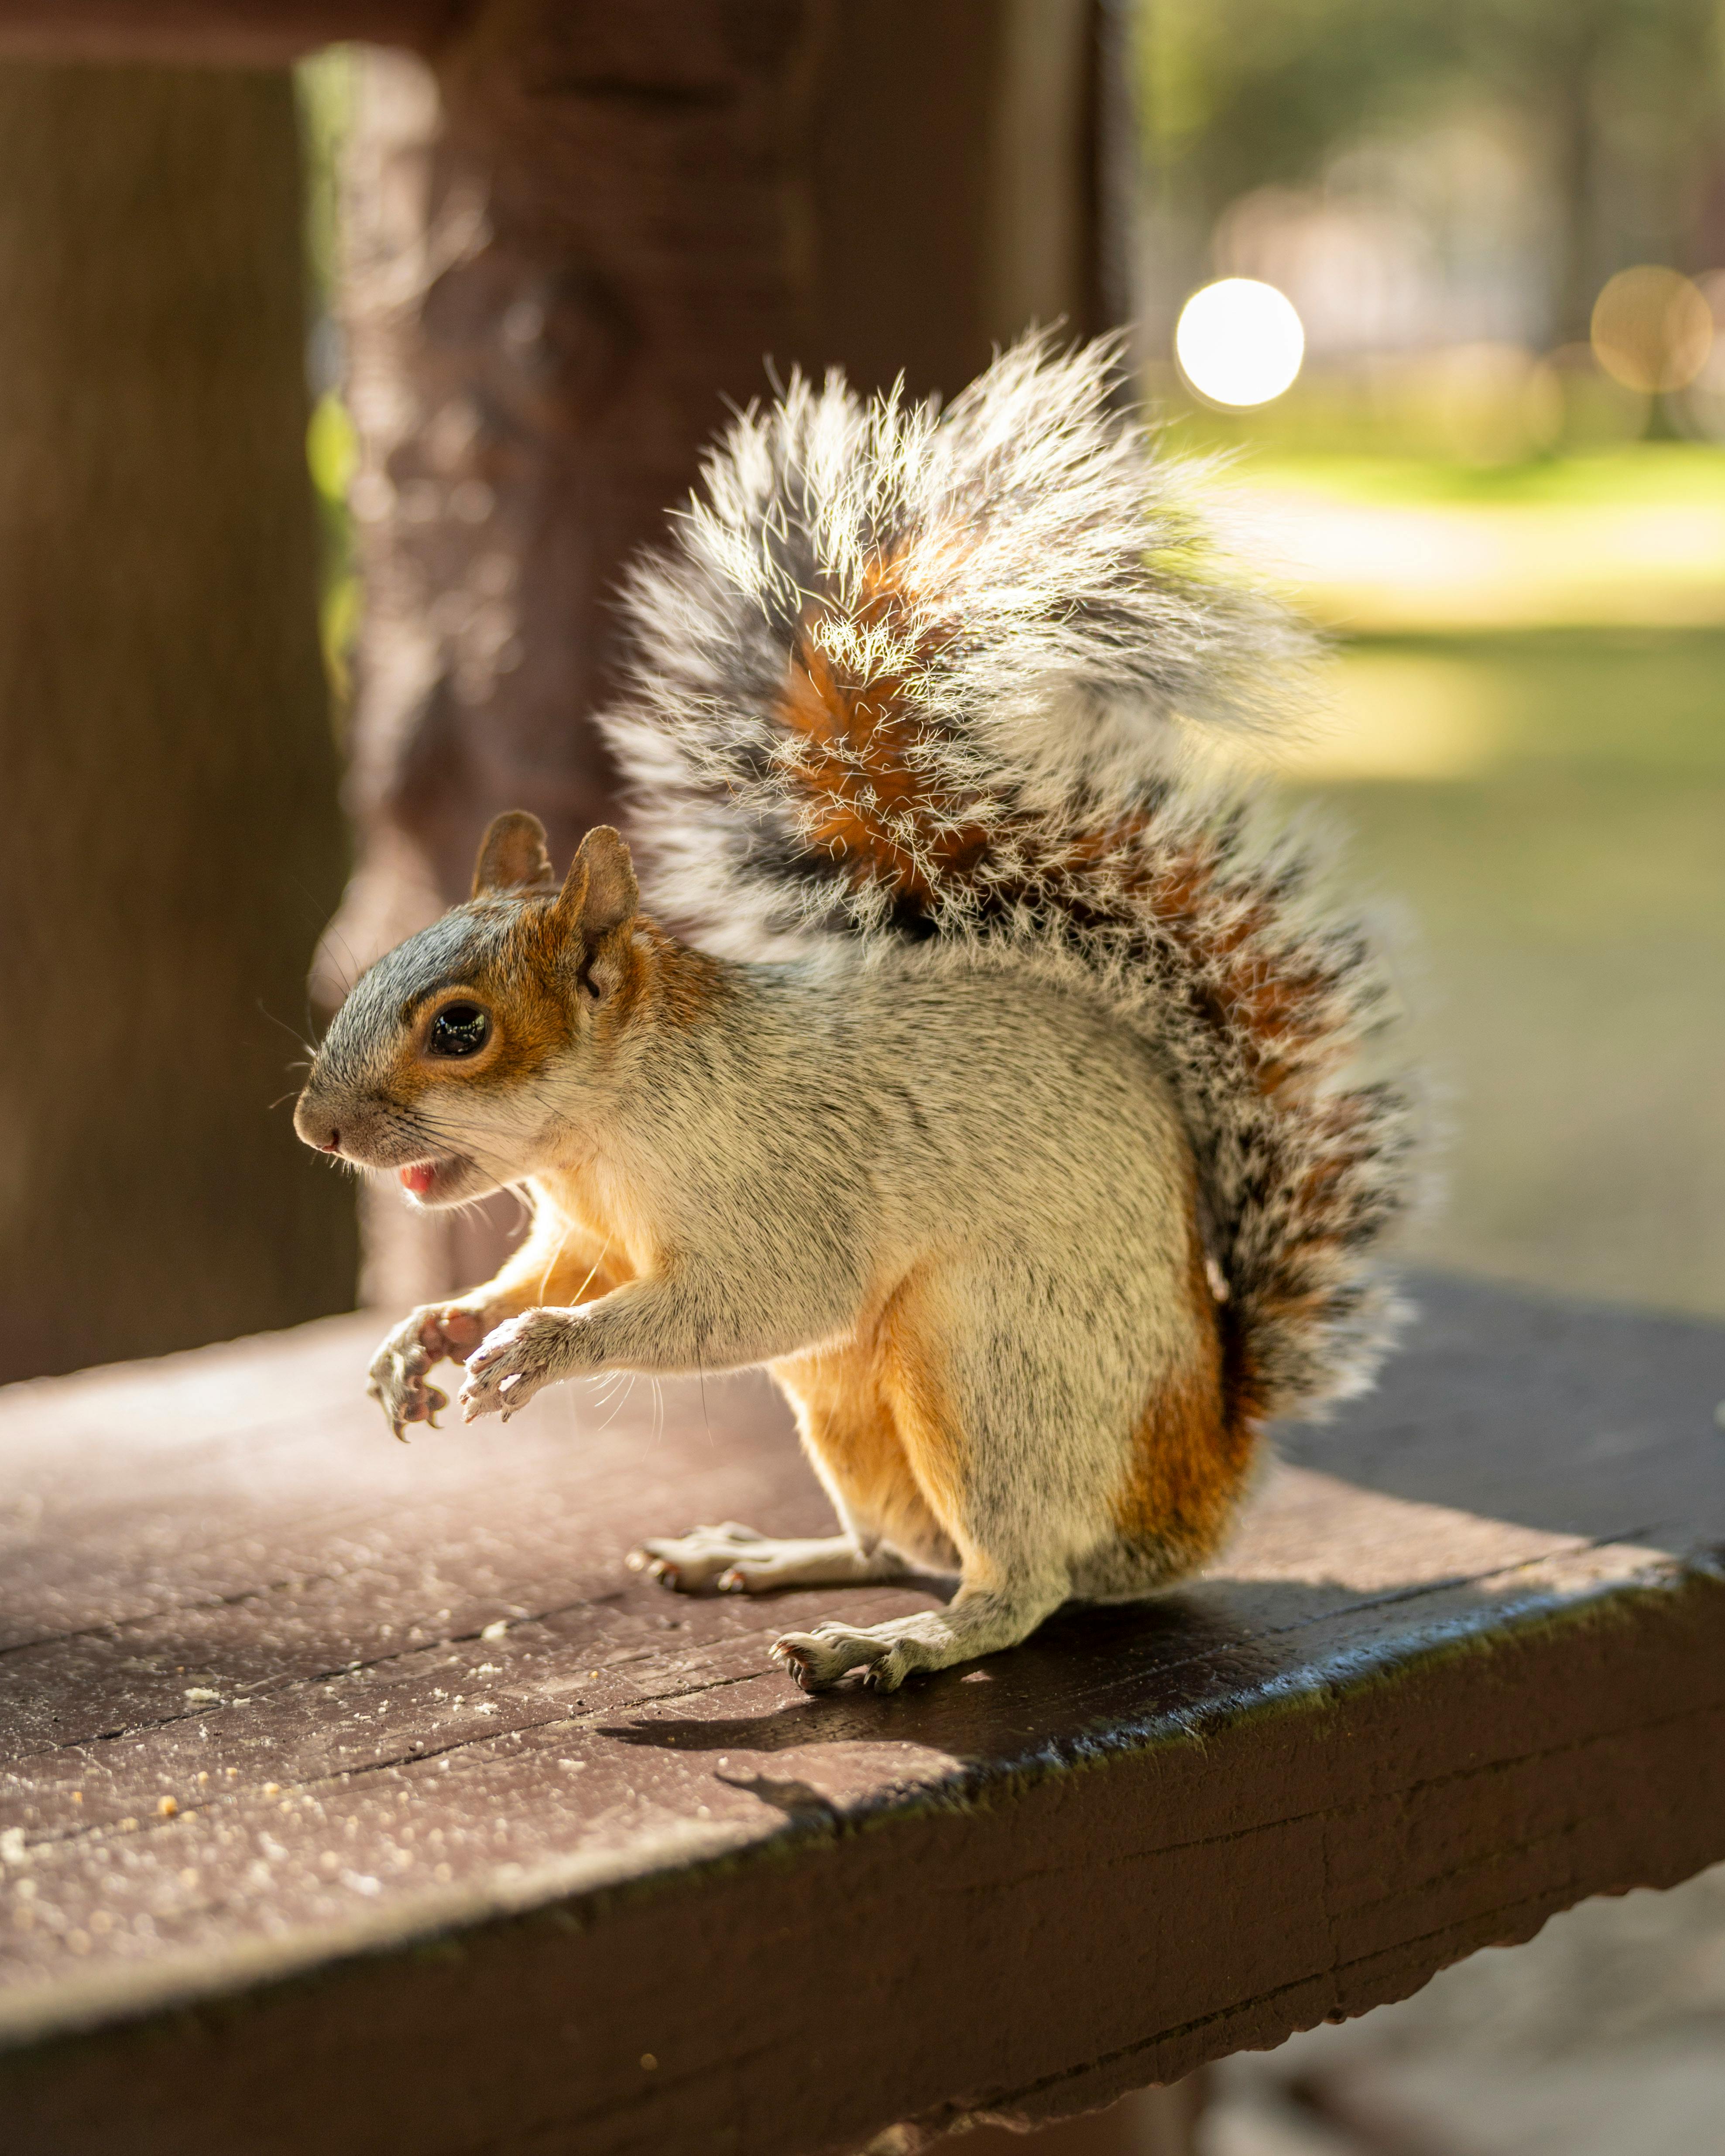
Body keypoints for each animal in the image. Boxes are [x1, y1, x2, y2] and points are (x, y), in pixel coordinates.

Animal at [294, 335, 1412, 1694]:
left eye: (461, 1027)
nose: (316, 1129)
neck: (605, 1137)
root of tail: (1202, 1477)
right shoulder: (586, 1230)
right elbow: (543, 1276)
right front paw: (434, 1332)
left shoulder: (784, 1193)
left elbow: (761, 1292)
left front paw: (543, 1346)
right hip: (848, 1411)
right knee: (894, 1538)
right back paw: (762, 1557)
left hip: (984, 1364)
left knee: (1014, 1581)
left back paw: (894, 1644)